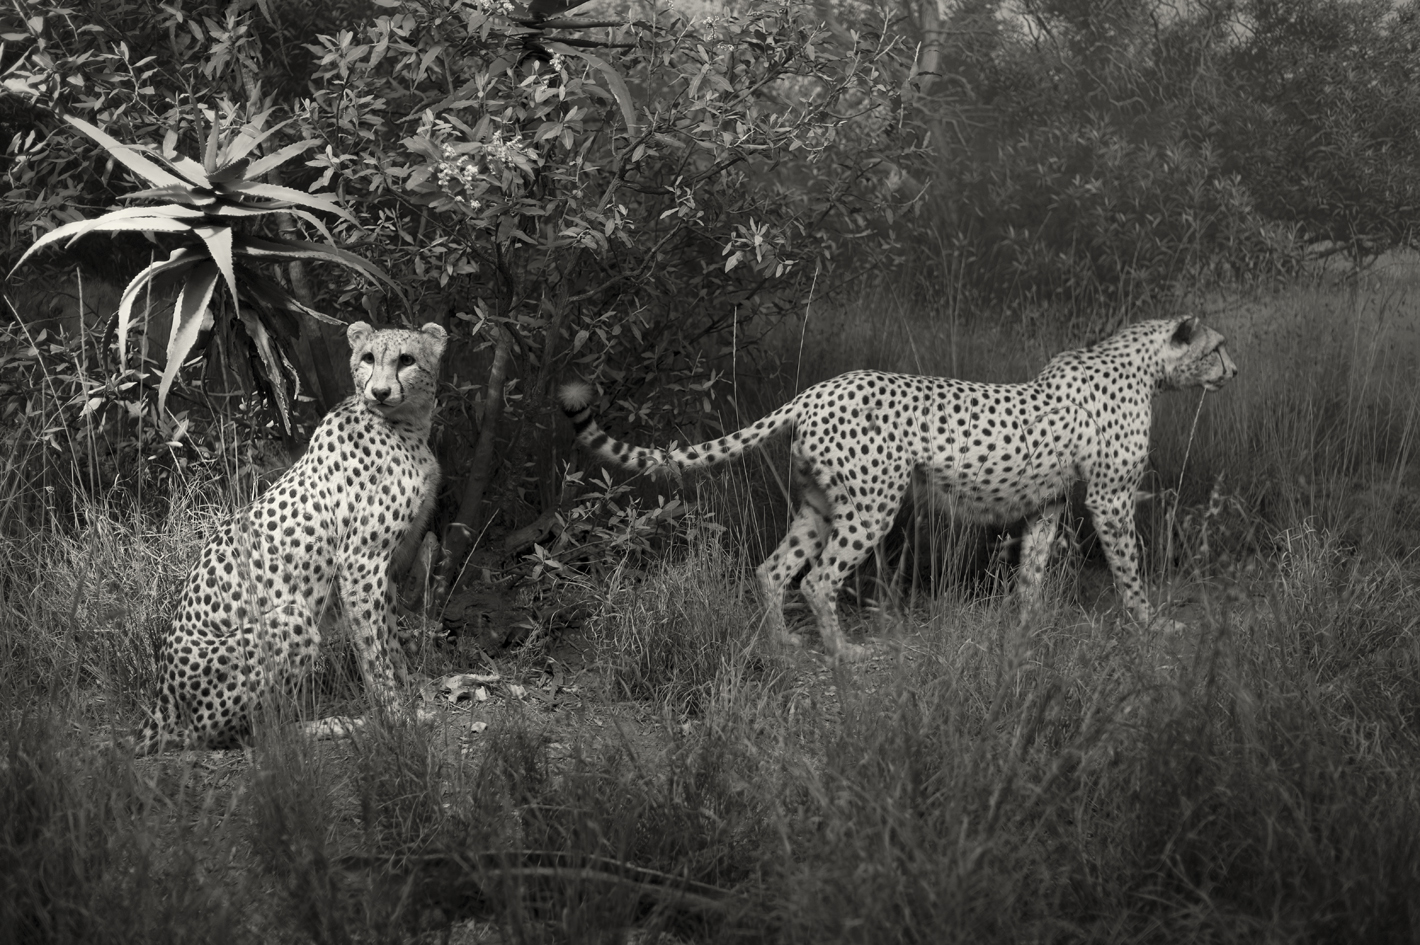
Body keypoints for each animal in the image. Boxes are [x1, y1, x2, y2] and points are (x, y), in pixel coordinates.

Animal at [134, 321, 448, 753]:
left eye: (407, 360)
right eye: (368, 358)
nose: (380, 392)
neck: (405, 424)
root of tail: (160, 703)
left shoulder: (384, 564)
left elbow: (389, 637)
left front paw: (409, 692)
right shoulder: (361, 561)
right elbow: (374, 647)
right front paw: (395, 714)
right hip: (291, 619)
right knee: (261, 736)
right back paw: (332, 725)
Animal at [559, 315, 1237, 661]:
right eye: (1219, 347)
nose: (1234, 370)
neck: (1142, 366)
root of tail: (819, 389)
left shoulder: (1046, 502)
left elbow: (1032, 571)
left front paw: (1026, 628)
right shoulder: (1110, 499)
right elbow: (1129, 571)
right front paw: (1152, 626)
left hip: (818, 506)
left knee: (773, 570)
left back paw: (783, 642)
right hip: (872, 506)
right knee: (818, 580)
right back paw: (845, 654)